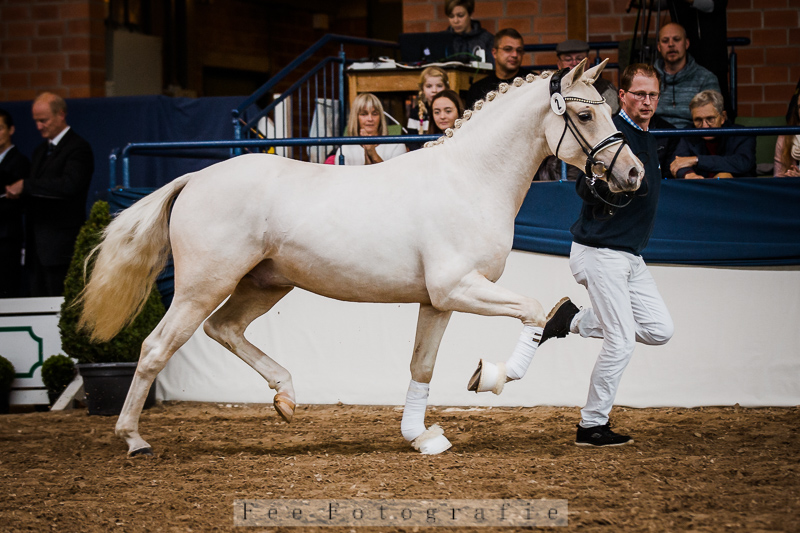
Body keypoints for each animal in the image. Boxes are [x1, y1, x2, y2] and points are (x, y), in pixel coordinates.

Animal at [80, 59, 644, 457]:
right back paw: (134, 439)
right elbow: (536, 312)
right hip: (203, 286)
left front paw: (422, 436)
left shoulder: (438, 301)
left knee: (225, 329)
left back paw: (286, 398)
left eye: (609, 110)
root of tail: (195, 178)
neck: (469, 179)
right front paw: (492, 377)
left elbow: (422, 364)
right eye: (586, 113)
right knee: (156, 347)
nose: (634, 173)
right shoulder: (459, 286)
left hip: (264, 283)